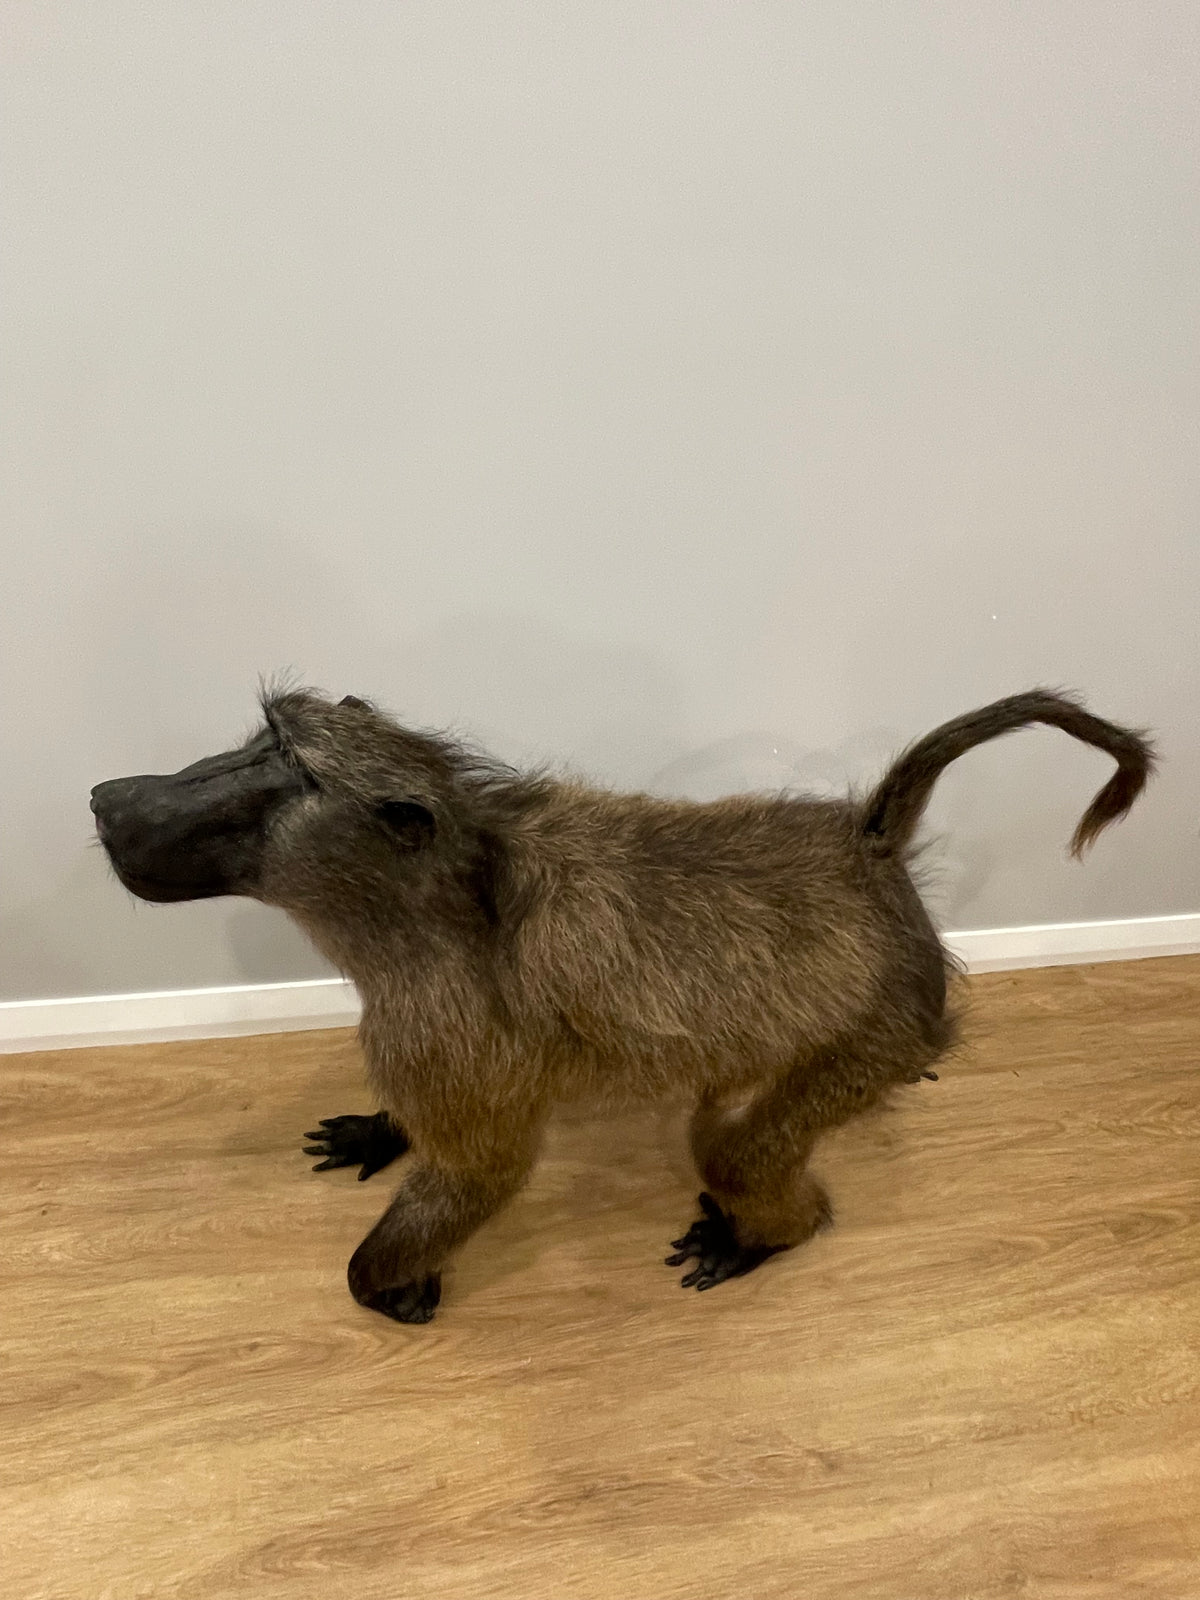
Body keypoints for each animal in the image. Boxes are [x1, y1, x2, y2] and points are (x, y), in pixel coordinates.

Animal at [90, 688, 1154, 1324]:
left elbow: (483, 1171)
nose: (108, 800)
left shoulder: (442, 1022)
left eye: (285, 772)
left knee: (736, 1151)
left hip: (874, 1028)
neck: (447, 893)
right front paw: (376, 1132)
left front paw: (393, 1287)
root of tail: (867, 850)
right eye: (256, 742)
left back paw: (758, 1236)